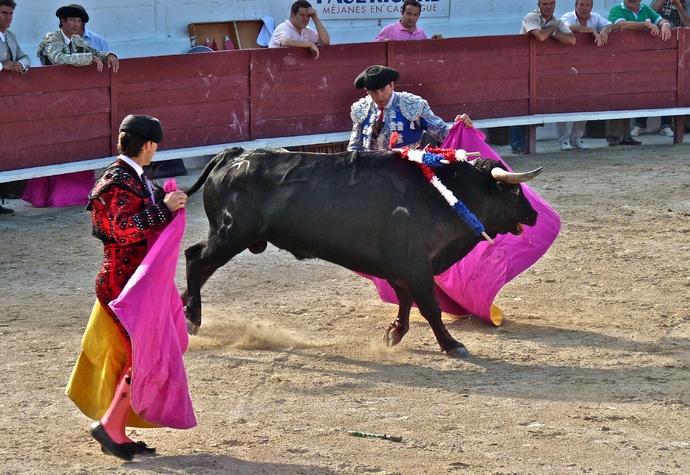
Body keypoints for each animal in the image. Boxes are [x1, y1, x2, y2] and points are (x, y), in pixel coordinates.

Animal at [182, 147, 542, 358]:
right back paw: (193, 318)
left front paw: (394, 333)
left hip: (232, 238)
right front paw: (453, 345)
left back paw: (186, 310)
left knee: (201, 266)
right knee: (195, 258)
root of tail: (232, 155)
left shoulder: (398, 268)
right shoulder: (415, 265)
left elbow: (405, 300)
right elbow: (430, 306)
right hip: (230, 235)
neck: (448, 191)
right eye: (513, 191)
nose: (535, 215)